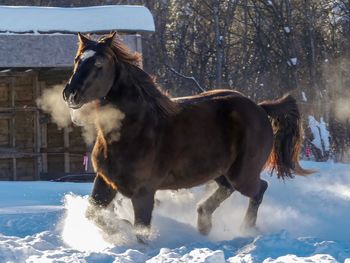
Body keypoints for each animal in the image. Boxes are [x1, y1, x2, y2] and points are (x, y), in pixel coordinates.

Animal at [63, 32, 312, 238]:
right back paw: (204, 222)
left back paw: (245, 229)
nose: (70, 94)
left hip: (243, 175)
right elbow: (93, 215)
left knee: (259, 189)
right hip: (222, 172)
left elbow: (141, 230)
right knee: (228, 189)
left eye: (98, 63)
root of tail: (260, 108)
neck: (133, 130)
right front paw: (118, 227)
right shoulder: (105, 181)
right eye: (77, 60)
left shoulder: (144, 191)